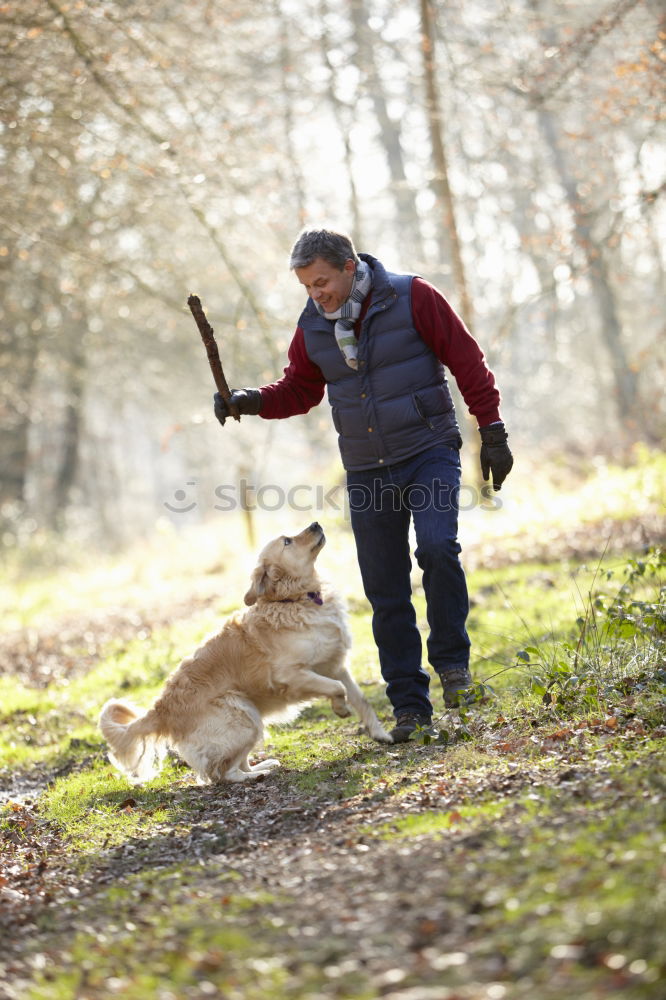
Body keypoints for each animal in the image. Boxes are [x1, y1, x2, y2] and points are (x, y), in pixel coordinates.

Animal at [98, 520, 390, 784]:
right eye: (287, 541)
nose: (316, 524)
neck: (295, 599)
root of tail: (161, 708)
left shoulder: (335, 665)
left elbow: (361, 698)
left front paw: (380, 734)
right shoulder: (292, 675)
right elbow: (336, 688)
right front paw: (340, 708)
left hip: (251, 718)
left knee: (235, 764)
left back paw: (263, 765)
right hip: (243, 717)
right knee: (222, 774)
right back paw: (257, 775)